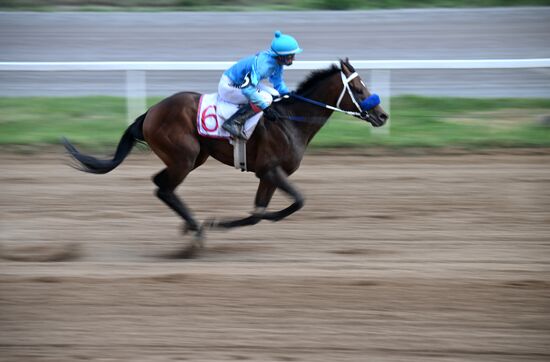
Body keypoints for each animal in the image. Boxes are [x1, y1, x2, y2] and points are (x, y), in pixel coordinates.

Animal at [64, 58, 390, 258]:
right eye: (358, 89)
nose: (383, 116)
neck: (291, 120)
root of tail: (150, 112)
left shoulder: (268, 175)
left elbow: (259, 212)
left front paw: (228, 221)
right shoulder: (271, 170)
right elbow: (296, 202)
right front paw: (216, 223)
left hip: (194, 157)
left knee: (161, 184)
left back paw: (192, 226)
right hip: (184, 157)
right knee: (163, 187)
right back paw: (196, 230)